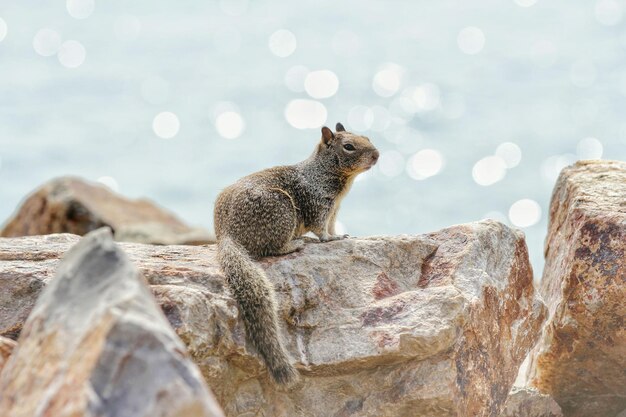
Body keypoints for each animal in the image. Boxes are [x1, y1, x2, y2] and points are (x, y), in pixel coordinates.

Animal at [214, 122, 378, 384]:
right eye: (349, 147)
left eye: (367, 137)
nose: (377, 155)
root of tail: (226, 234)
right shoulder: (319, 205)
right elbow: (321, 229)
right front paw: (330, 239)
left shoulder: (334, 210)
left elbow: (332, 225)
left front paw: (341, 235)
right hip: (282, 210)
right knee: (271, 248)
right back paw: (296, 243)